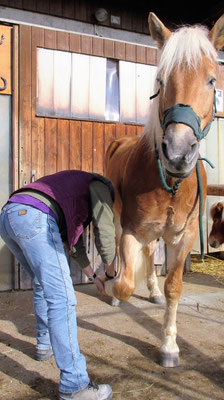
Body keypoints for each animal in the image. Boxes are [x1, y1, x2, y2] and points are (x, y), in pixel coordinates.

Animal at [103, 11, 224, 368]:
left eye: (211, 80)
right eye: (161, 80)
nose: (178, 153)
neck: (170, 183)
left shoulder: (184, 237)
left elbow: (174, 287)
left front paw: (169, 346)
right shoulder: (131, 229)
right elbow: (125, 285)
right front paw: (114, 291)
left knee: (149, 254)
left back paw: (153, 292)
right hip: (120, 221)